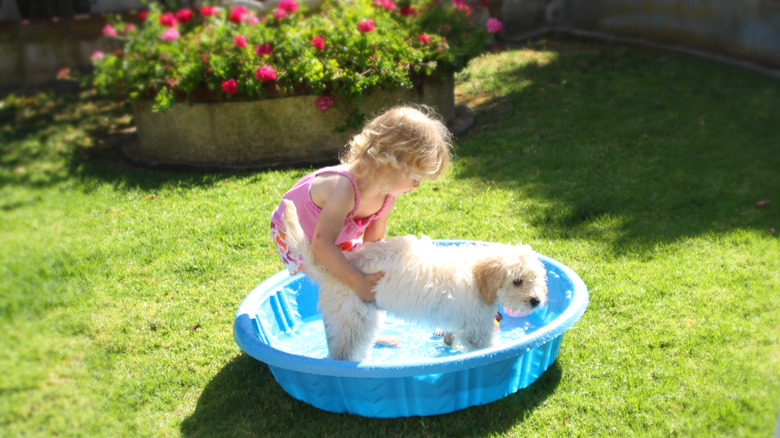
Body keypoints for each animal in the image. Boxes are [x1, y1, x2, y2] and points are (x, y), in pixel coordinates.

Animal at [280, 200, 548, 362]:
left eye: (535, 279)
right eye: (517, 281)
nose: (536, 301)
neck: (477, 278)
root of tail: (331, 268)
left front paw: (448, 341)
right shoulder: (477, 329)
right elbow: (486, 349)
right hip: (352, 319)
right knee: (343, 352)